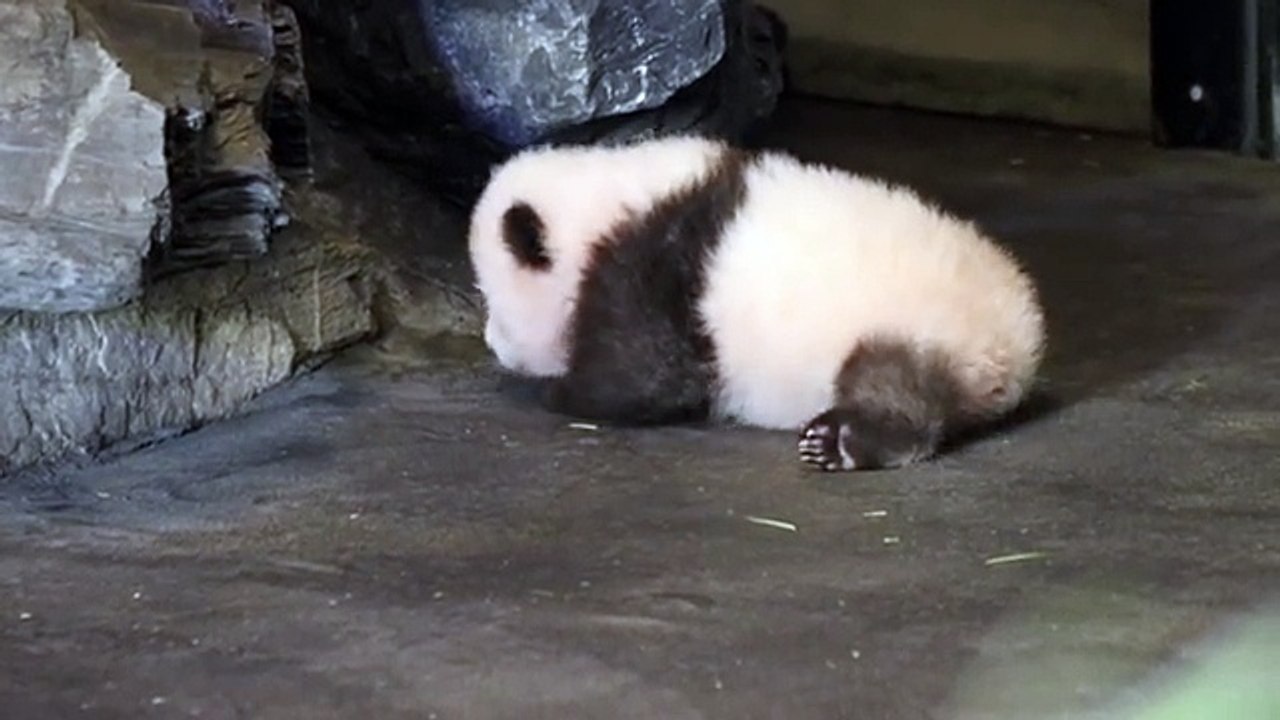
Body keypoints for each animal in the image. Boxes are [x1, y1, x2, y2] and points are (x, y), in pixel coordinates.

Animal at [467, 135, 1046, 472]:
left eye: (492, 300)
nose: (491, 342)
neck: (602, 207)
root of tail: (1017, 341)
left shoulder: (654, 265)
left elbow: (654, 371)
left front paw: (566, 392)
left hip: (913, 320)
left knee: (895, 384)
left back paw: (843, 441)